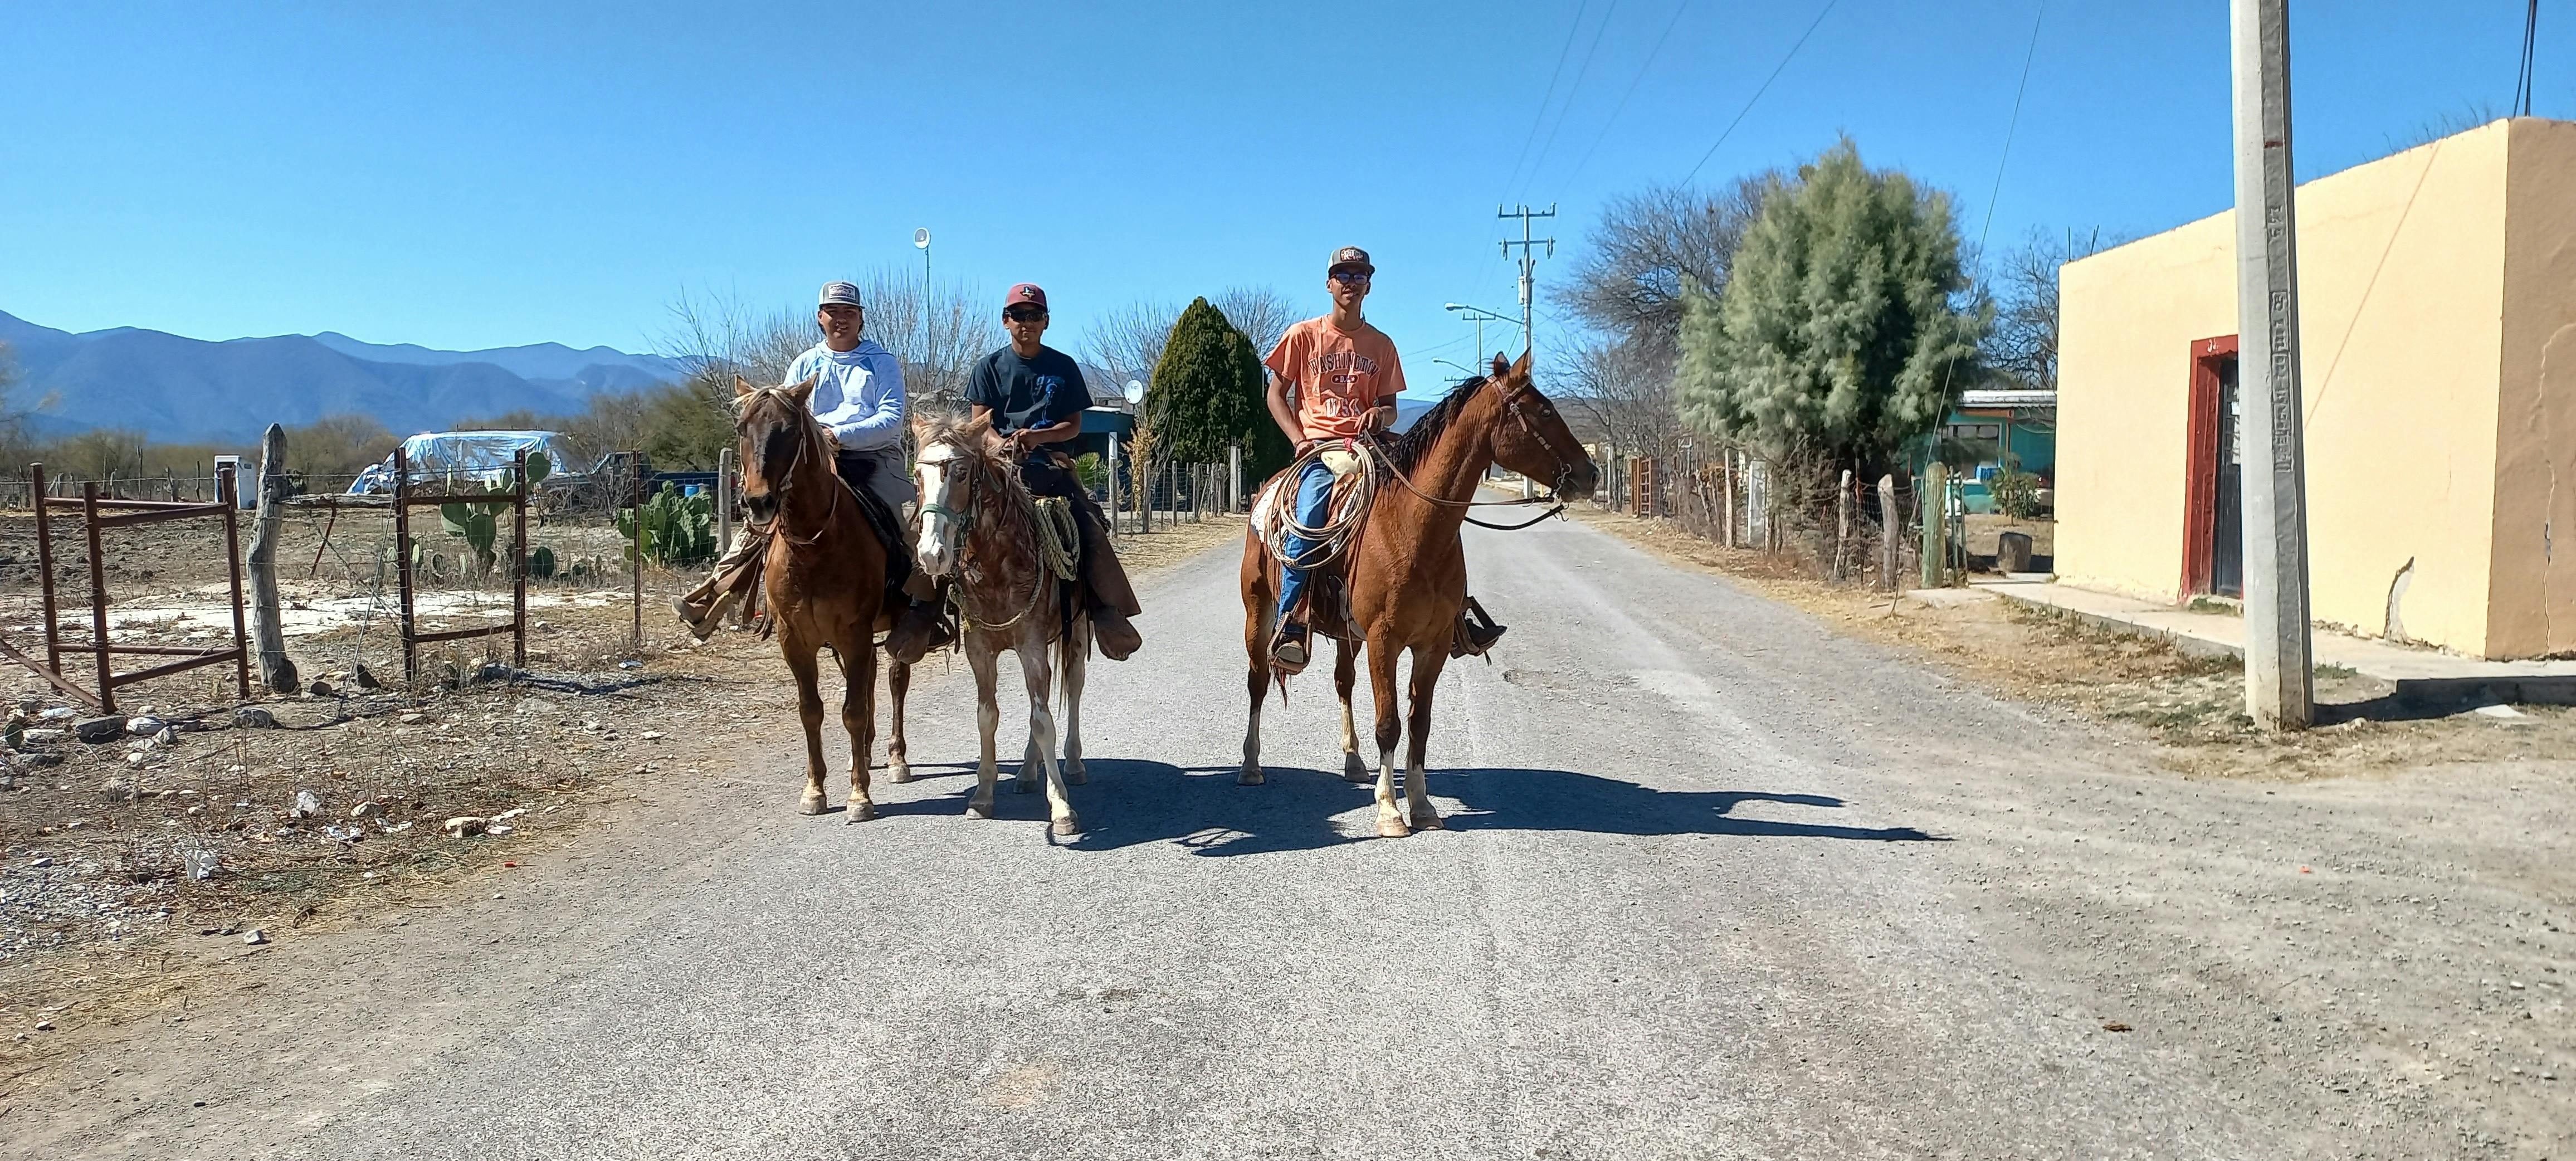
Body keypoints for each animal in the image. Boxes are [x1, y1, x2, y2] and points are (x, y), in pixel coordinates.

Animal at [731, 378, 911, 823]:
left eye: (790, 431)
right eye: (742, 428)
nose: (758, 502)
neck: (813, 547)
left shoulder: (854, 633)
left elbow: (852, 711)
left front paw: (860, 797)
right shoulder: (794, 640)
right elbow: (812, 710)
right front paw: (814, 791)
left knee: (895, 681)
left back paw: (896, 759)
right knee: (869, 682)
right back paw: (865, 755)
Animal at [911, 417, 1092, 834]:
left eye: (961, 473)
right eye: (917, 475)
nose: (931, 554)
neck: (999, 567)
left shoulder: (1032, 648)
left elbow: (1043, 722)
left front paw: (1061, 807)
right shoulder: (980, 651)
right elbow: (988, 718)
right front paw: (982, 795)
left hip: (1075, 635)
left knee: (1073, 688)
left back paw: (1074, 764)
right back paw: (1026, 772)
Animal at [1236, 353, 1597, 834]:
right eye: (1543, 412)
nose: (1591, 474)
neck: (1411, 527)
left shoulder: (1433, 644)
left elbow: (1420, 724)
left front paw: (1422, 805)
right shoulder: (1384, 641)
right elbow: (1389, 723)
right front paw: (1390, 809)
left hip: (1349, 635)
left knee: (1343, 682)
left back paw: (1353, 762)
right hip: (1259, 611)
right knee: (1258, 682)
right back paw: (1251, 765)